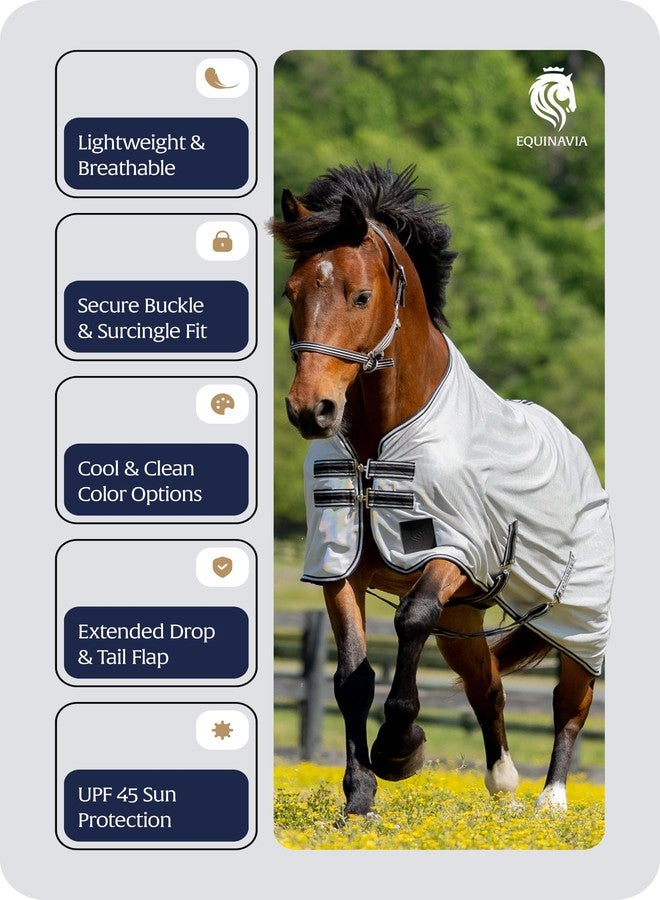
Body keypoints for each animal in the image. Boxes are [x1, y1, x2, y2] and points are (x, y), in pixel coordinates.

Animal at [271, 162, 613, 818]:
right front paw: (360, 798)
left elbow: (410, 621)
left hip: (577, 620)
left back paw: (550, 803)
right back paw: (504, 791)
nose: (311, 409)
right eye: (291, 292)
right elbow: (352, 679)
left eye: (361, 295)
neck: (379, 443)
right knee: (490, 689)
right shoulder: (337, 567)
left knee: (570, 701)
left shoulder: (453, 553)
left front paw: (400, 748)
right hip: (468, 619)